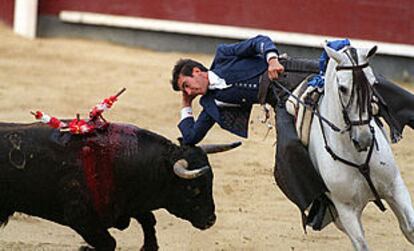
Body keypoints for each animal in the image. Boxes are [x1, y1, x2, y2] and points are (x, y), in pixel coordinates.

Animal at [0, 122, 239, 250]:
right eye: (193, 189)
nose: (210, 220)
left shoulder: (129, 204)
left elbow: (148, 219)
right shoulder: (80, 217)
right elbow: (109, 242)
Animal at [308, 44, 414, 250]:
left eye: (373, 83)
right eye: (342, 88)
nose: (364, 139)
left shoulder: (395, 186)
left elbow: (410, 229)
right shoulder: (345, 209)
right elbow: (361, 244)